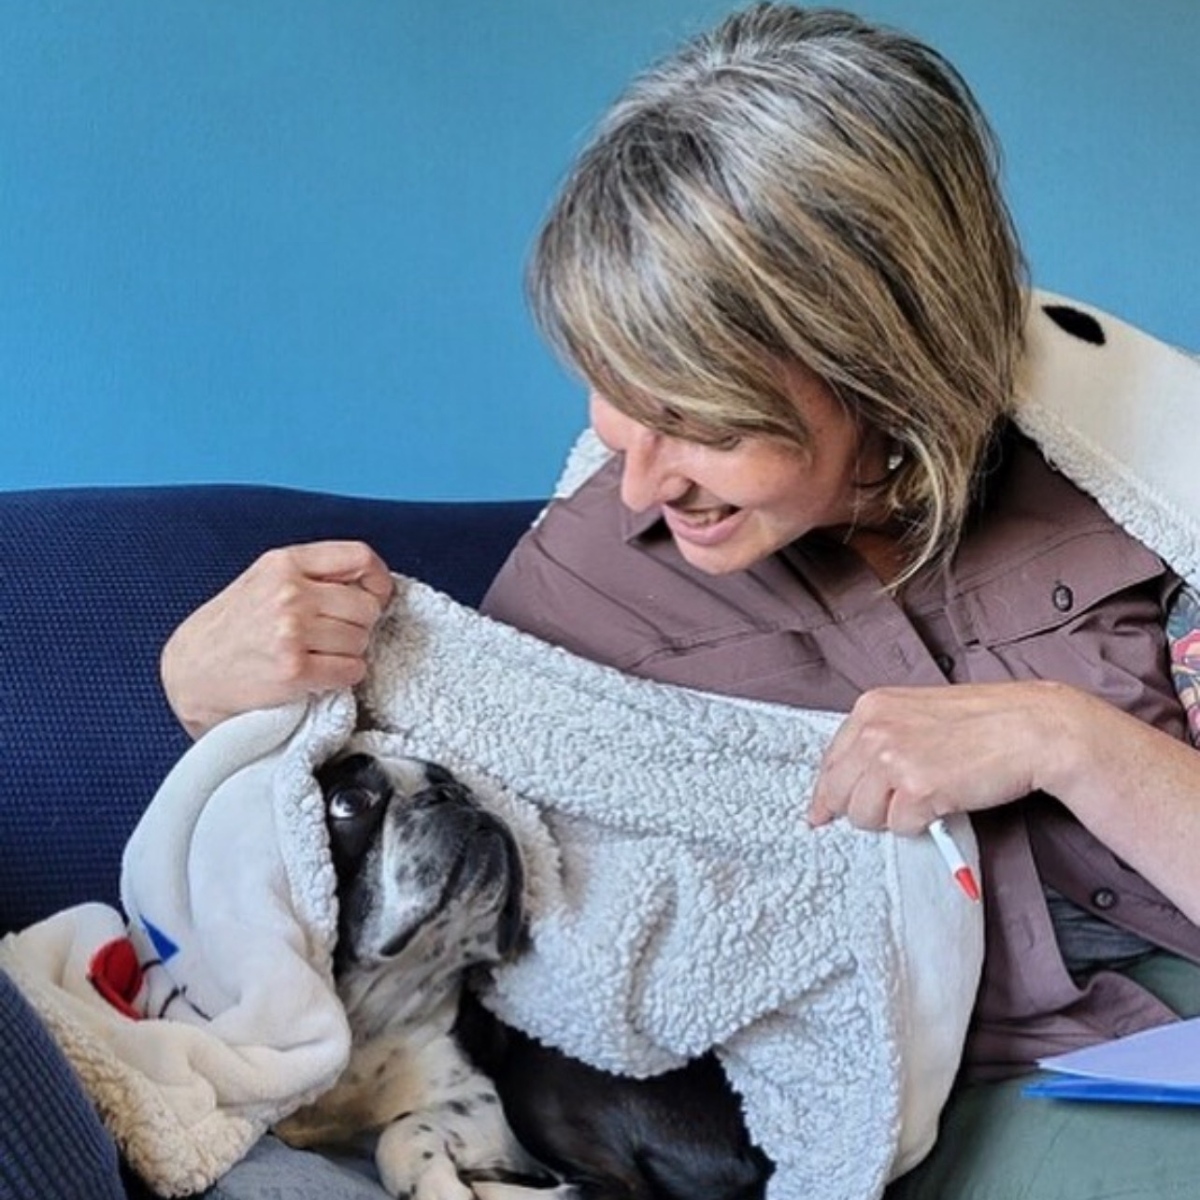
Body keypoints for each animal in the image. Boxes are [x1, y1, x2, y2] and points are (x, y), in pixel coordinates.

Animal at [277, 748, 772, 1200]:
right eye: (349, 802)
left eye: (458, 785)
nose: (457, 796)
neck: (373, 1015)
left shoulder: (484, 1103)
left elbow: (401, 1130)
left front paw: (440, 1187)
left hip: (544, 1073)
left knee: (617, 1190)